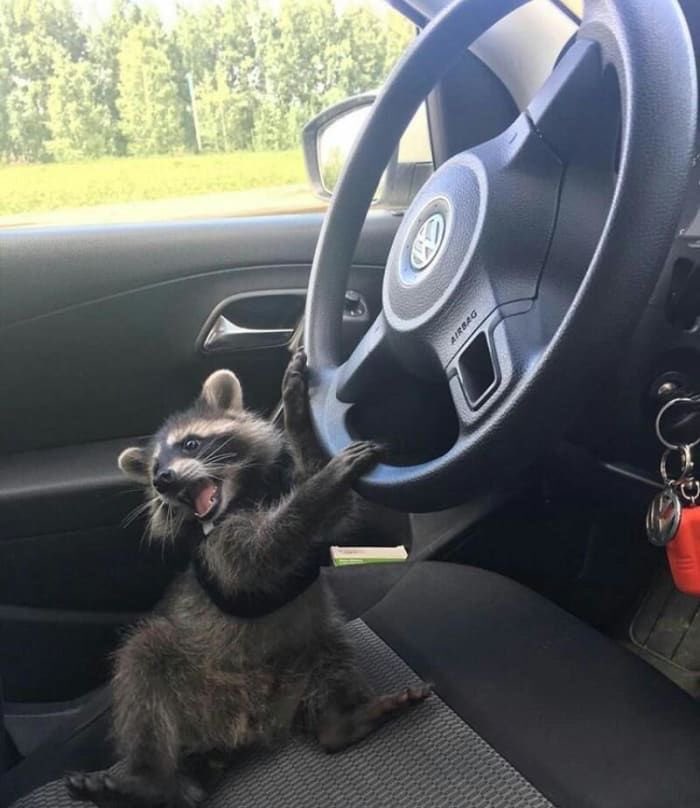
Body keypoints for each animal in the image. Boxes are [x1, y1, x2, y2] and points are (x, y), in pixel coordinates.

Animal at [66, 350, 430, 808]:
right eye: (154, 467)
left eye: (191, 444)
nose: (161, 480)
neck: (240, 494)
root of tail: (249, 723)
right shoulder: (216, 547)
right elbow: (258, 556)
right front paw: (324, 479)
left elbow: (331, 515)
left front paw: (300, 421)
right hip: (191, 679)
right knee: (142, 658)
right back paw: (149, 779)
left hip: (303, 655)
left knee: (331, 649)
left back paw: (342, 720)